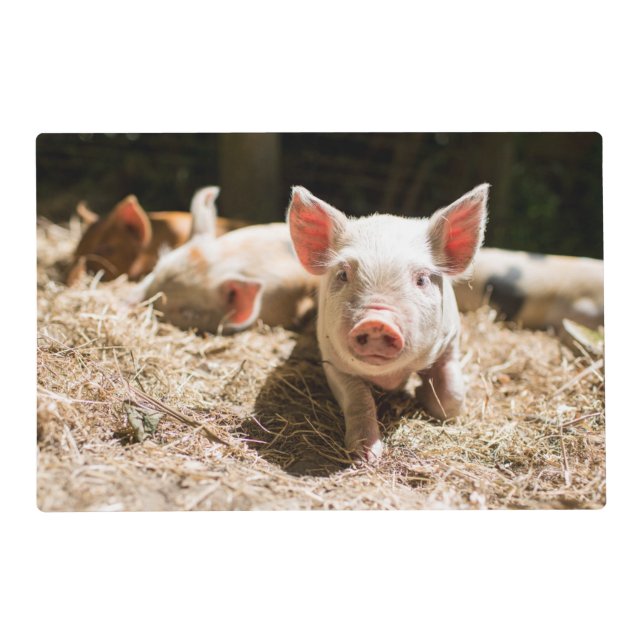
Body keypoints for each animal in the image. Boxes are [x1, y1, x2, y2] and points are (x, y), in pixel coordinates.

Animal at [287, 184, 489, 463]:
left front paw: (423, 396)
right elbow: (359, 400)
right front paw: (365, 457)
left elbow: (452, 399)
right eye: (343, 274)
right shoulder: (331, 359)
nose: (376, 322)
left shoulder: (450, 342)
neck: (390, 378)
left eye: (422, 279)